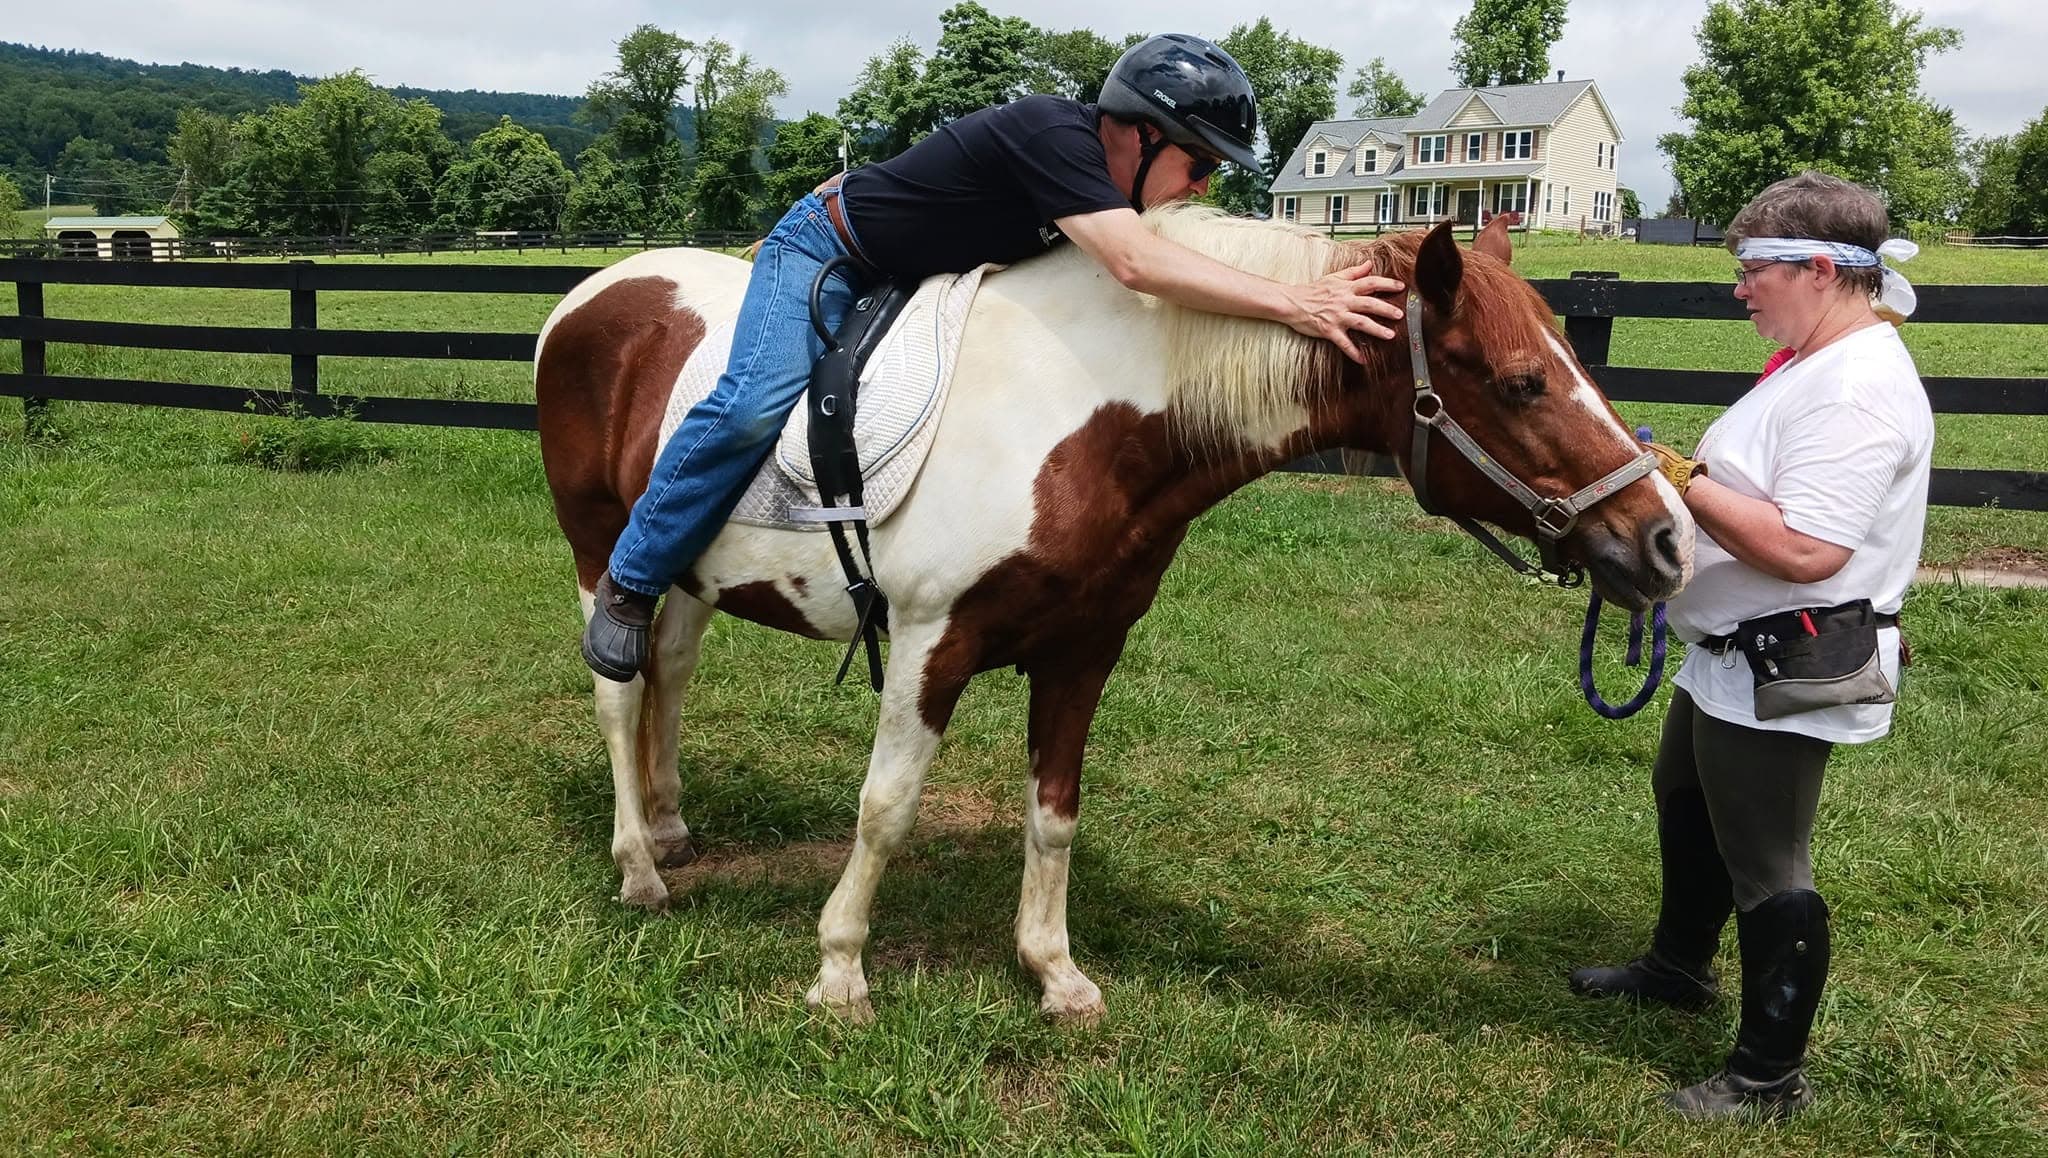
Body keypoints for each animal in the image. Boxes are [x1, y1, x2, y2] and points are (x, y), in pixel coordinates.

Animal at [533, 207, 1695, 1024]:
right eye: (1521, 382)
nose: (1667, 542)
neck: (1077, 420)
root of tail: (587, 297)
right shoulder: (928, 644)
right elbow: (886, 809)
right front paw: (840, 971)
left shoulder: (1083, 652)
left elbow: (1055, 814)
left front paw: (1054, 974)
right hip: (601, 555)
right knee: (617, 691)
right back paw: (638, 867)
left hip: (688, 577)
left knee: (669, 678)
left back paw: (669, 826)